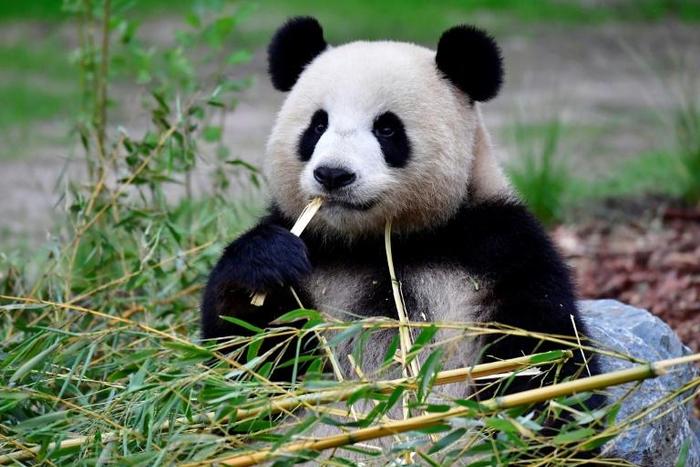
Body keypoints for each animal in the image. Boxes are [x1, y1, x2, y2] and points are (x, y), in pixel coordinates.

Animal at [201, 17, 599, 402]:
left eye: (387, 129)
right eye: (317, 125)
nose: (333, 174)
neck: (381, 242)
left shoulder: (500, 248)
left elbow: (545, 353)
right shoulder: (313, 253)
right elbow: (245, 356)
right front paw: (265, 260)